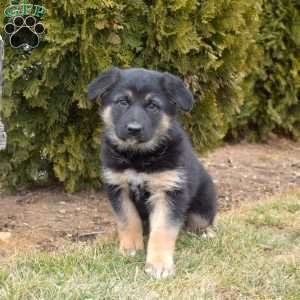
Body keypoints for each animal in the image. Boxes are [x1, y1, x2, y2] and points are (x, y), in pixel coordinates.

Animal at [88, 68, 217, 278]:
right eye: (123, 102)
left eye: (153, 106)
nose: (133, 129)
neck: (138, 158)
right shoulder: (118, 187)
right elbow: (127, 220)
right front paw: (130, 248)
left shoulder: (169, 191)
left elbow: (163, 230)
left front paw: (159, 265)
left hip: (204, 202)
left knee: (200, 220)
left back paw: (206, 232)